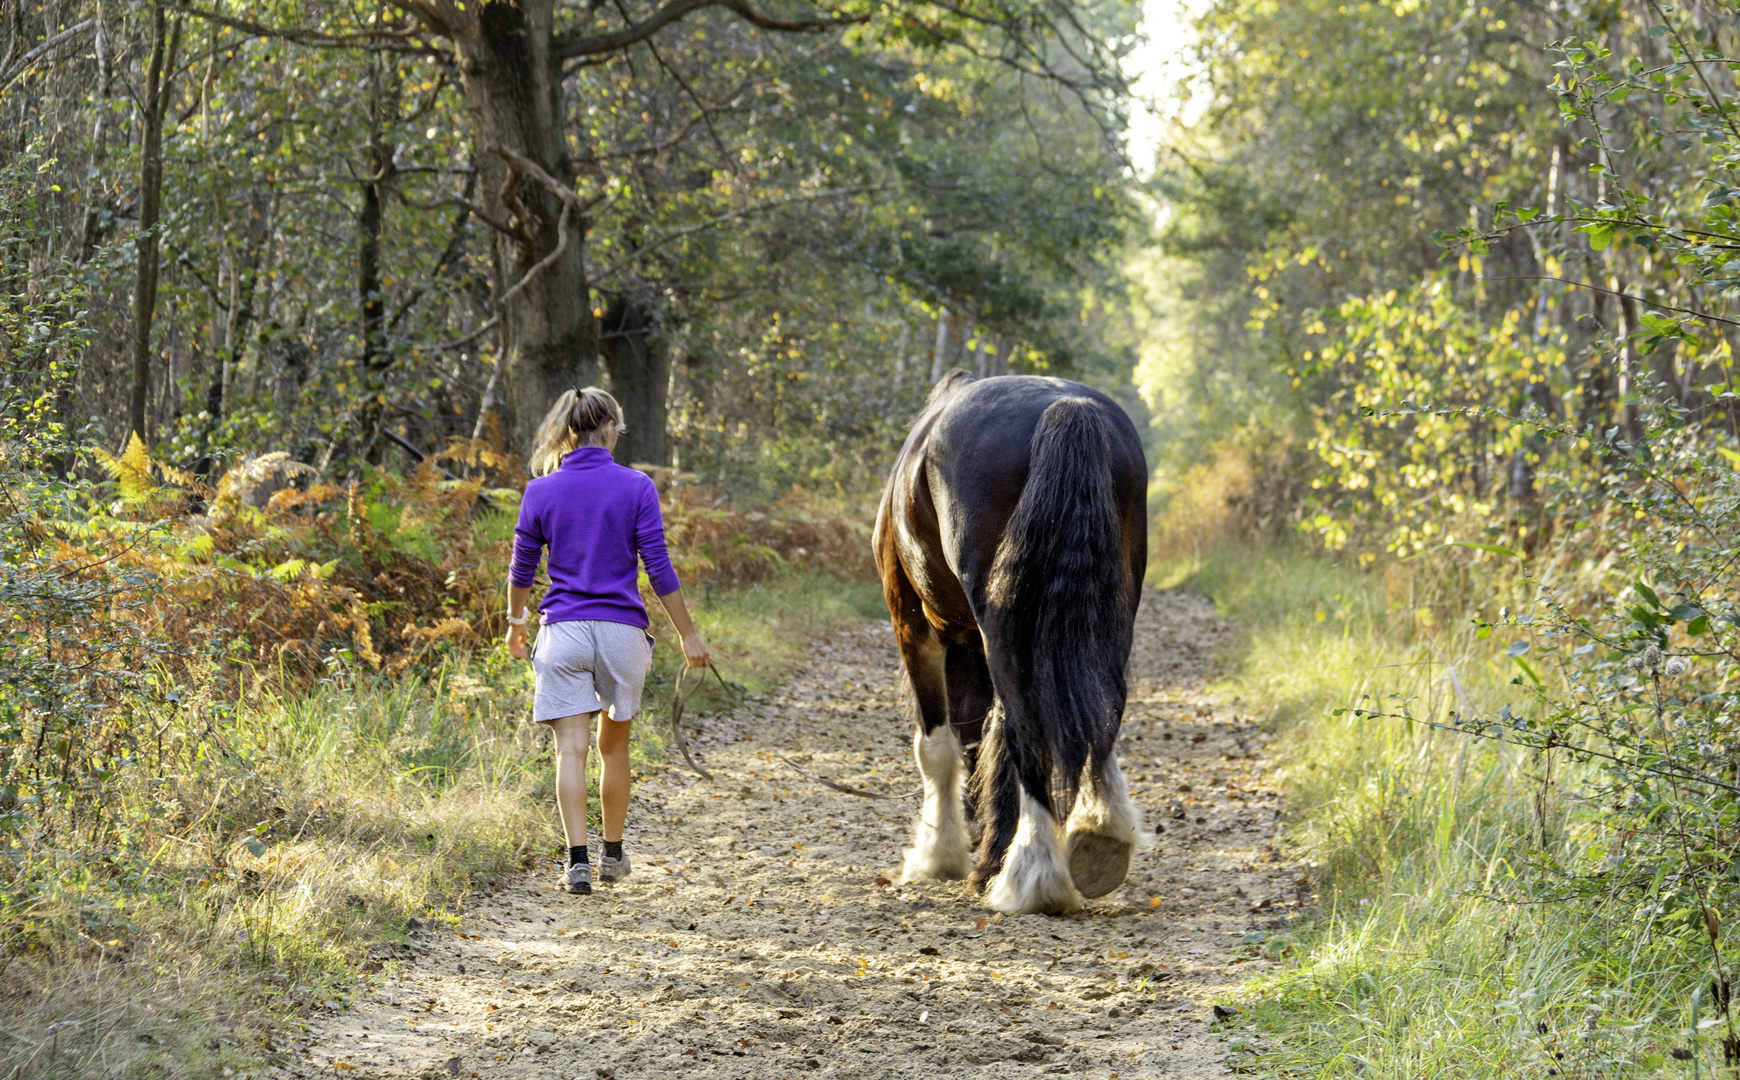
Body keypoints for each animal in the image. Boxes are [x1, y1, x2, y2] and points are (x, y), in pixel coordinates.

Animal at [876, 368, 1148, 911]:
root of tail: (1068, 408)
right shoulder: (967, 645)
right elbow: (977, 736)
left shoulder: (914, 626)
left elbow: (939, 747)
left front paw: (939, 855)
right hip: (1111, 618)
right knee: (1101, 713)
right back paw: (1099, 837)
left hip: (996, 627)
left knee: (1026, 730)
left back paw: (1031, 875)